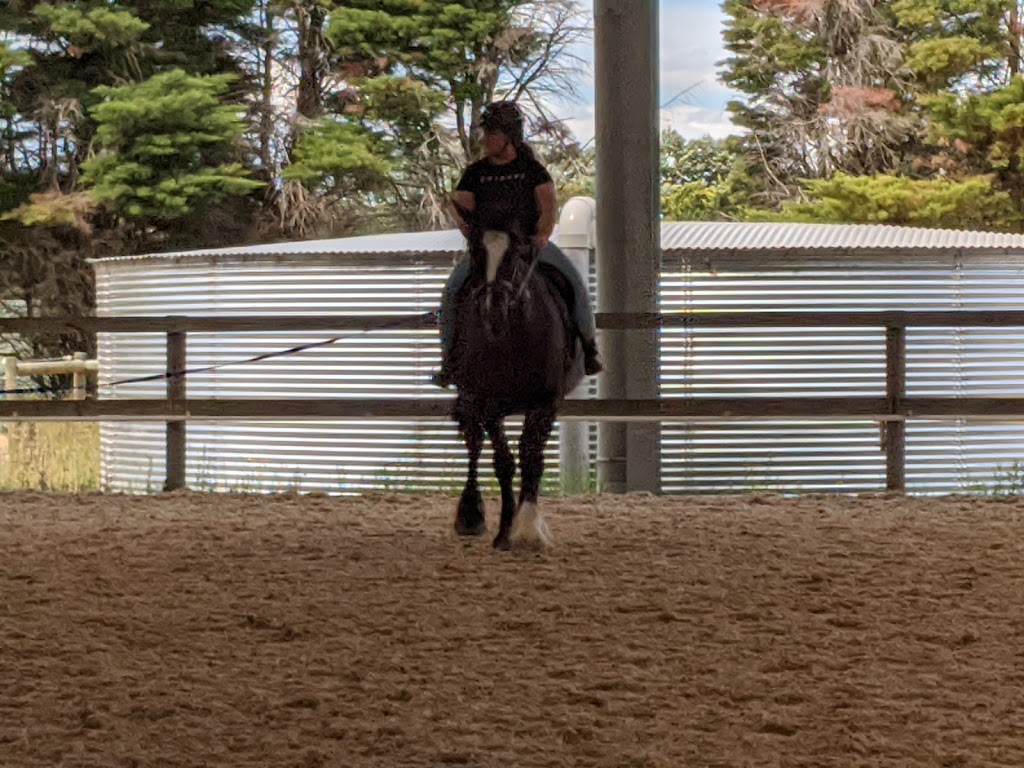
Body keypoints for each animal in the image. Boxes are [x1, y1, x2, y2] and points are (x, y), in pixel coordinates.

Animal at [448, 207, 585, 548]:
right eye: (476, 252)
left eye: (517, 255)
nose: (493, 311)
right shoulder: (487, 402)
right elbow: (504, 463)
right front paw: (505, 532)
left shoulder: (545, 402)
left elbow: (531, 459)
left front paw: (529, 529)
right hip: (470, 399)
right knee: (473, 443)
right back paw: (470, 515)